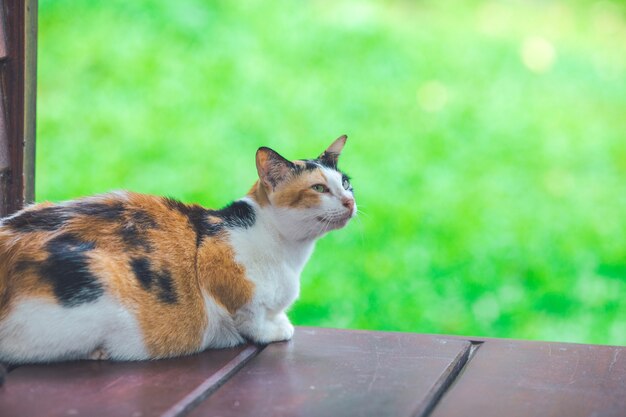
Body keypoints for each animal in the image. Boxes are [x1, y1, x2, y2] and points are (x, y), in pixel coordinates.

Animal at [0, 135, 354, 362]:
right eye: (319, 188)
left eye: (346, 184)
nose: (350, 202)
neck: (289, 250)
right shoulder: (223, 275)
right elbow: (252, 318)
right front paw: (276, 329)